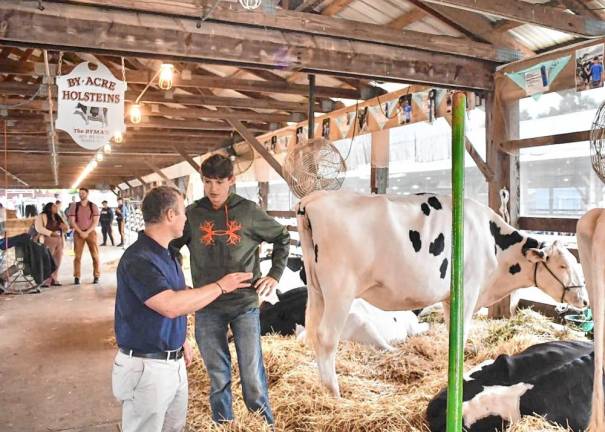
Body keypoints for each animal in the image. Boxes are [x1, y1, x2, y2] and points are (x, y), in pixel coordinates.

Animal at [294, 192, 588, 398]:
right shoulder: (468, 292)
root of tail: (313, 199)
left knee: (312, 332)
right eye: (563, 265)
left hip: (317, 290)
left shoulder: (451, 298)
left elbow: (451, 334)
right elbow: (460, 333)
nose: (584, 300)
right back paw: (334, 392)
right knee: (327, 337)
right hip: (340, 290)